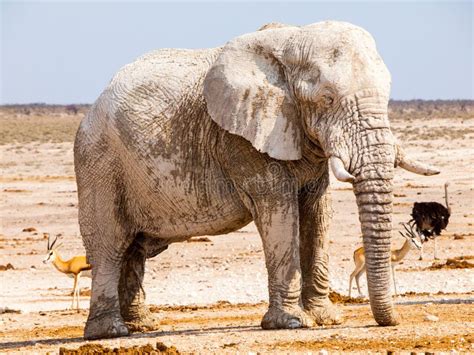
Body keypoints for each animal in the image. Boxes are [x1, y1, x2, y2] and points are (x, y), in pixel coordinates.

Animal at [72, 20, 438, 340]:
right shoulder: (241, 139)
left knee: (134, 249)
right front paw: (291, 324)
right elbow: (279, 211)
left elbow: (318, 213)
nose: (393, 321)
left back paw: (143, 326)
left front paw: (325, 319)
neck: (291, 43)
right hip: (98, 162)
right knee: (110, 246)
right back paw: (110, 333)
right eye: (327, 98)